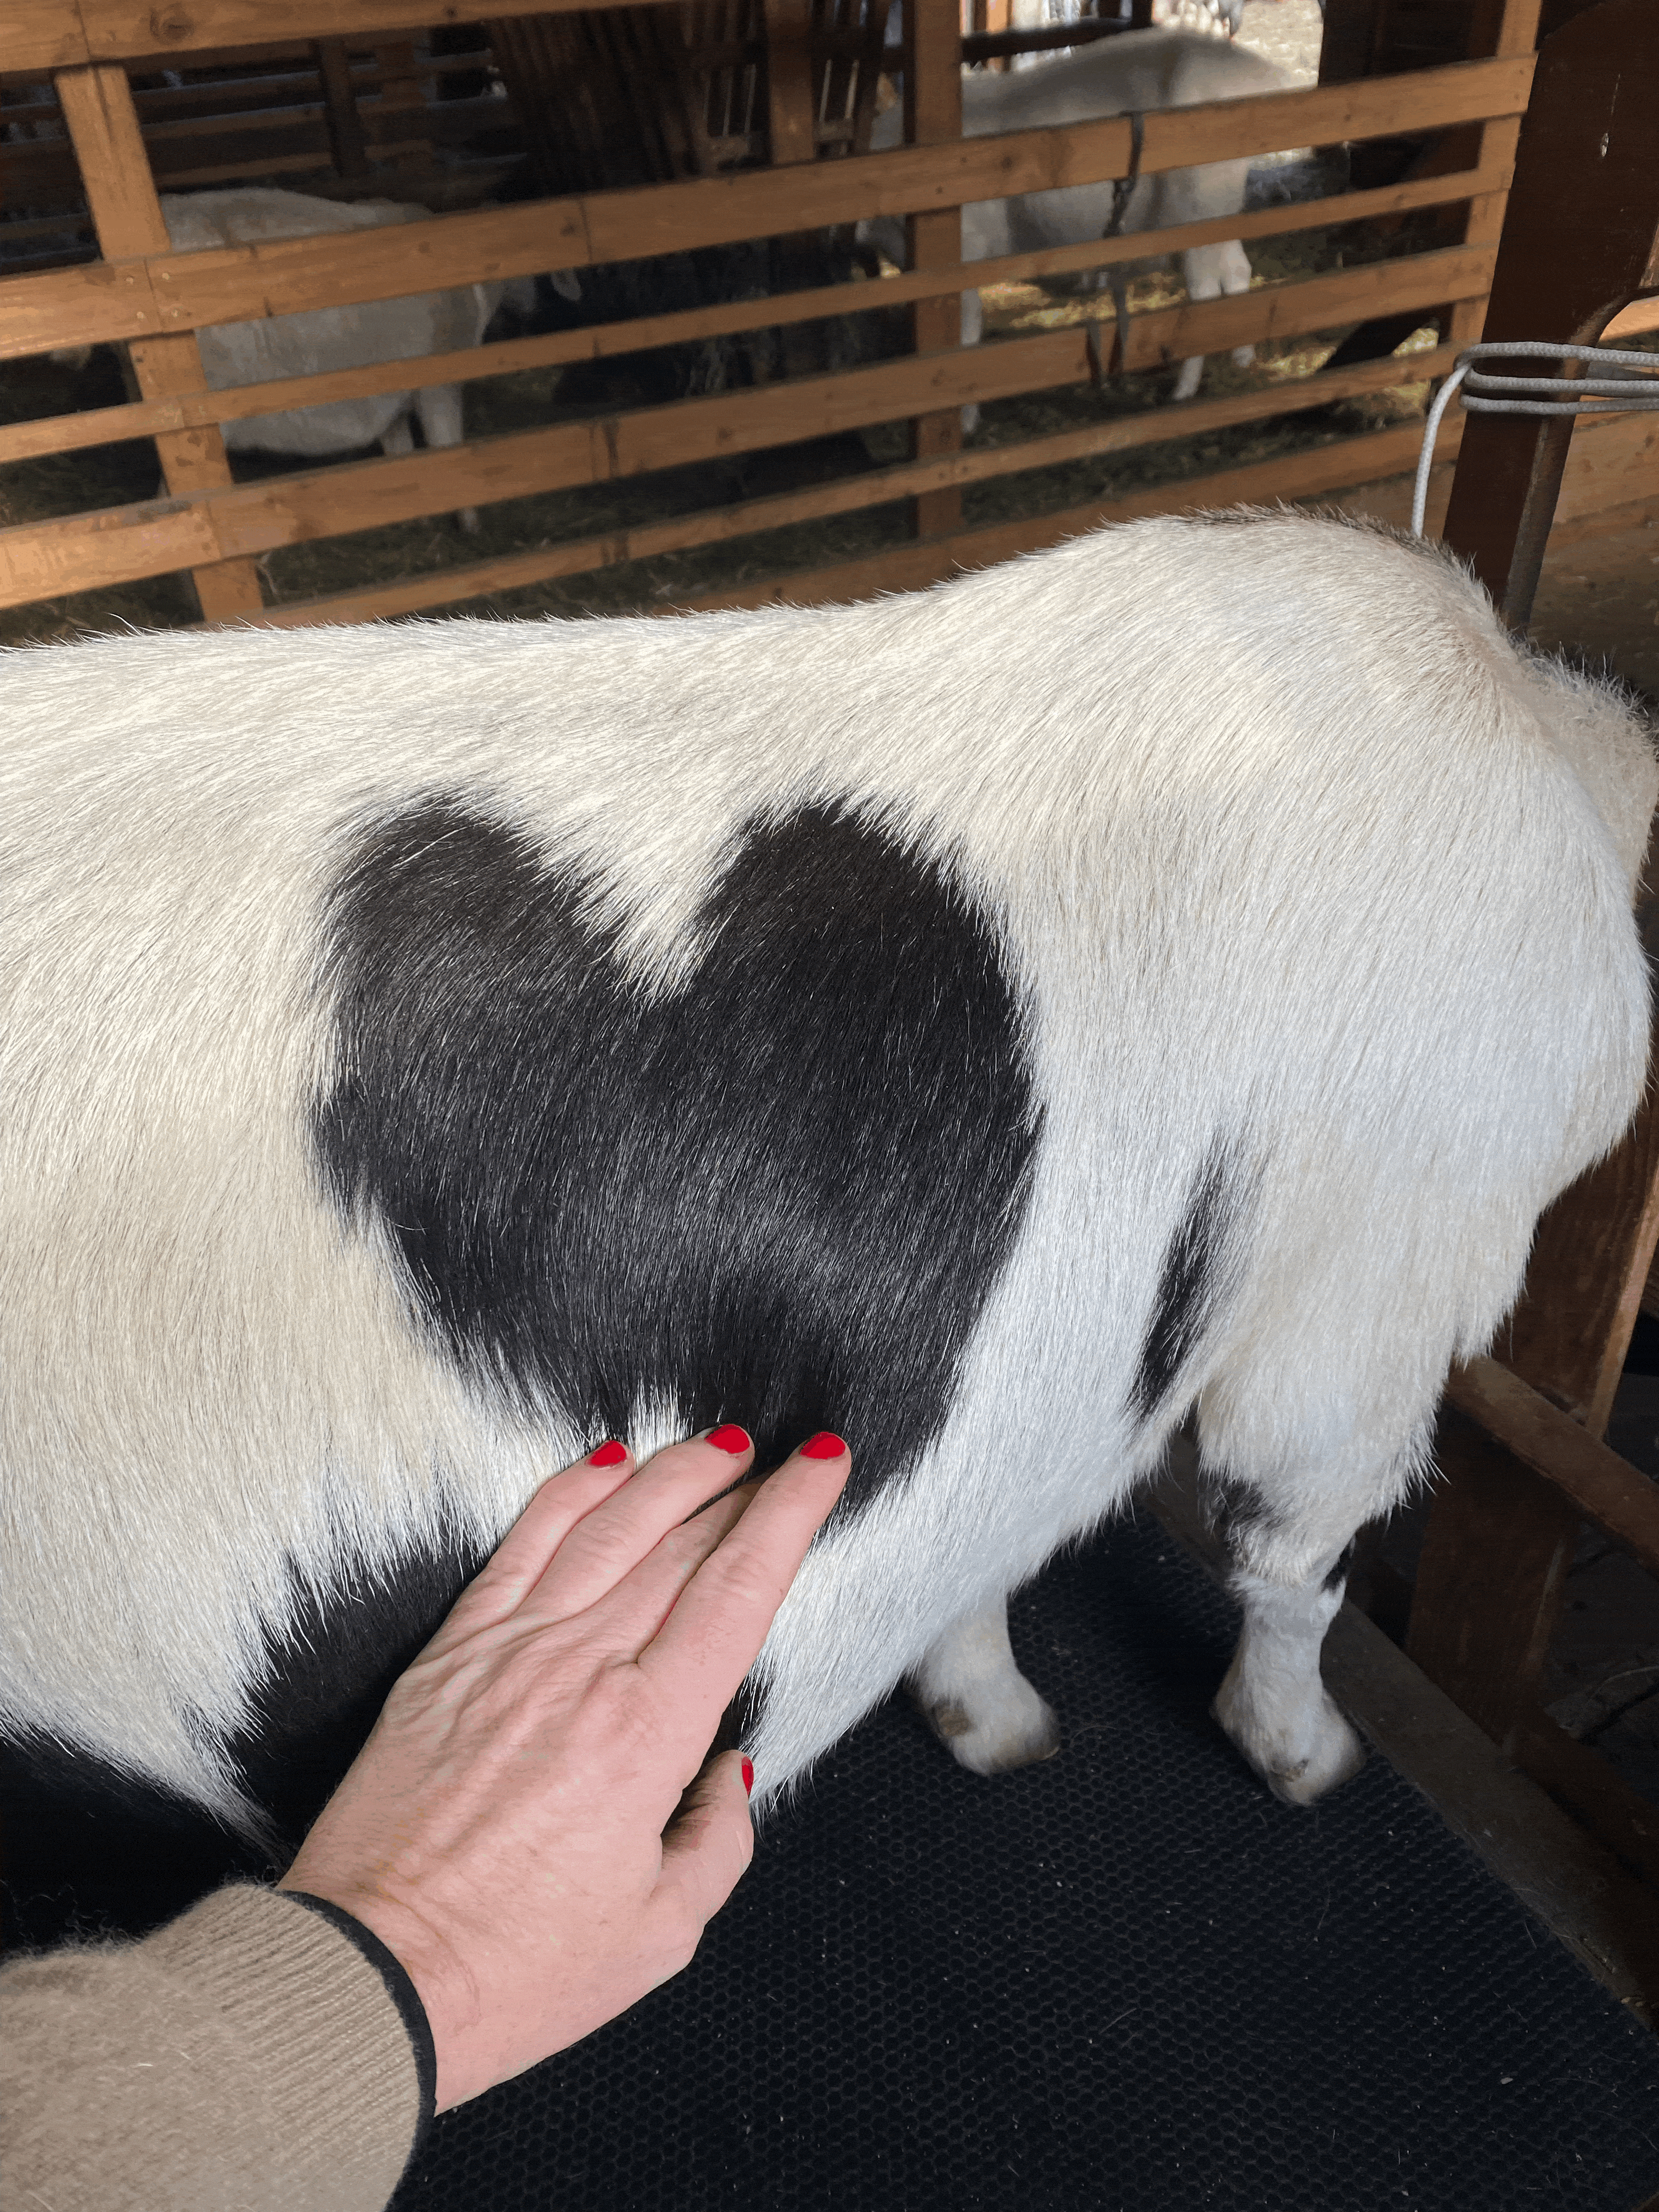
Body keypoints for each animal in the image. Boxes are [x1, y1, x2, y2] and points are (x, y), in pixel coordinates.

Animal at [864, 30, 1288, 415]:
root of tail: (1258, 74)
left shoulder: (962, 254)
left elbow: (964, 339)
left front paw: (964, 421)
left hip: (1197, 208)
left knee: (1203, 294)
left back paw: (1183, 391)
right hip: (1220, 207)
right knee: (1237, 271)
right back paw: (1243, 358)